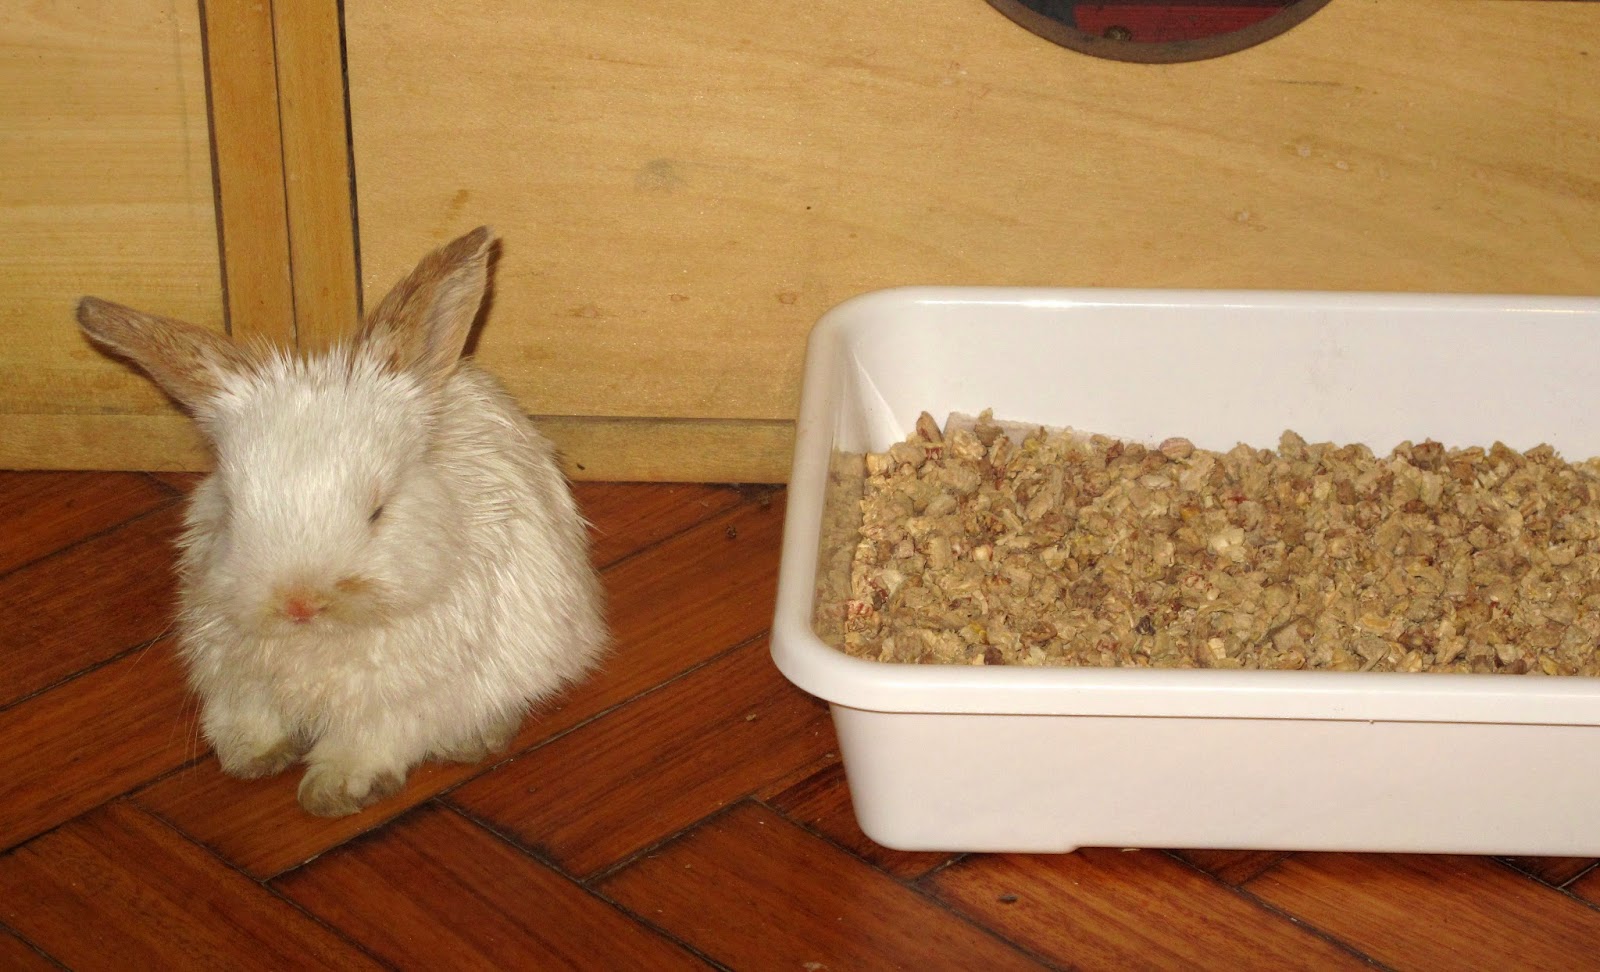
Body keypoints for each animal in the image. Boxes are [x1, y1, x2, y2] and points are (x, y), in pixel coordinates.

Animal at [75, 227, 608, 817]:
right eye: (233, 509)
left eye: (377, 511)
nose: (298, 603)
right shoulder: (234, 674)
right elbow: (248, 717)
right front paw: (250, 756)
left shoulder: (403, 698)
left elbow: (372, 738)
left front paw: (335, 790)